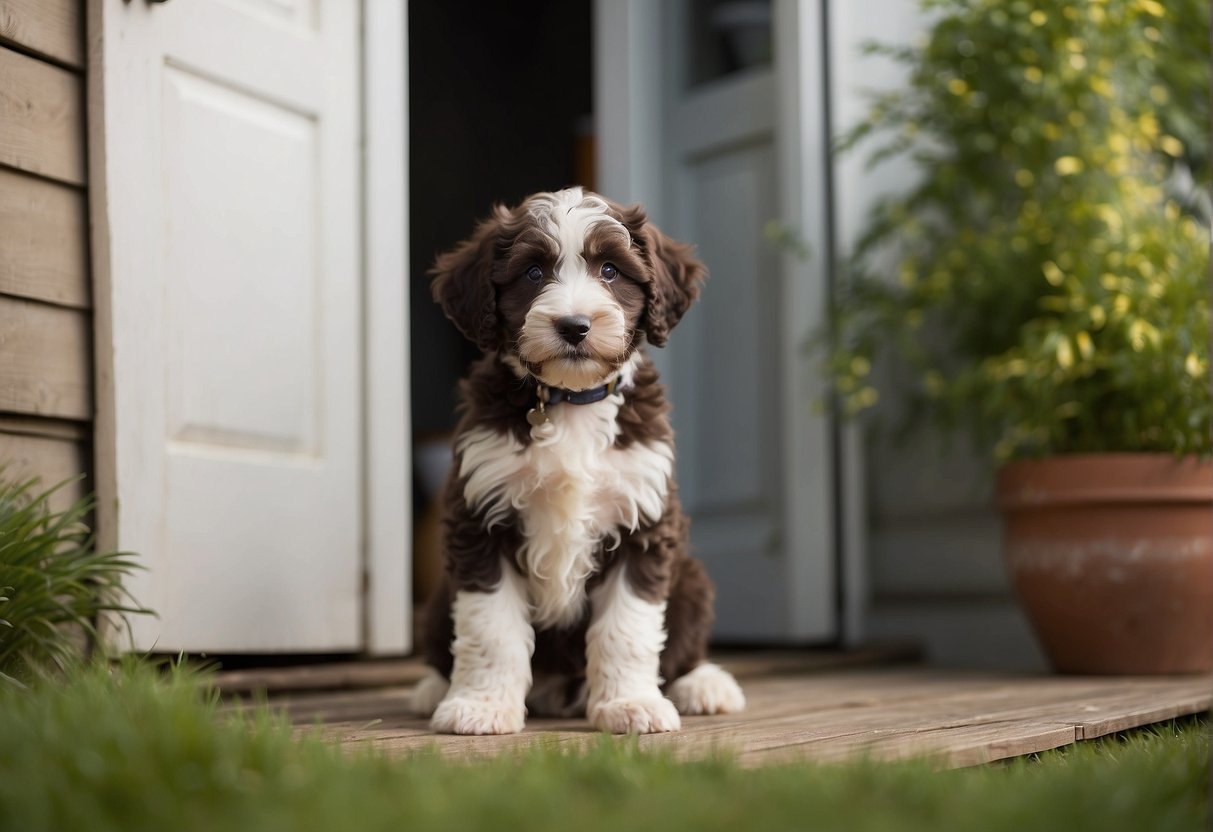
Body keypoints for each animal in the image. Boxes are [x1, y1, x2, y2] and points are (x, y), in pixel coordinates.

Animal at [412, 189, 742, 737]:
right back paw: (434, 687)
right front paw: (481, 707)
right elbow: (490, 626)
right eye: (532, 272)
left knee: (683, 645)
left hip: (691, 578)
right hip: (440, 599)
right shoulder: (480, 518)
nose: (574, 326)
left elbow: (628, 628)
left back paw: (704, 683)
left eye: (610, 269)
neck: (570, 400)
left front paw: (631, 705)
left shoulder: (643, 521)